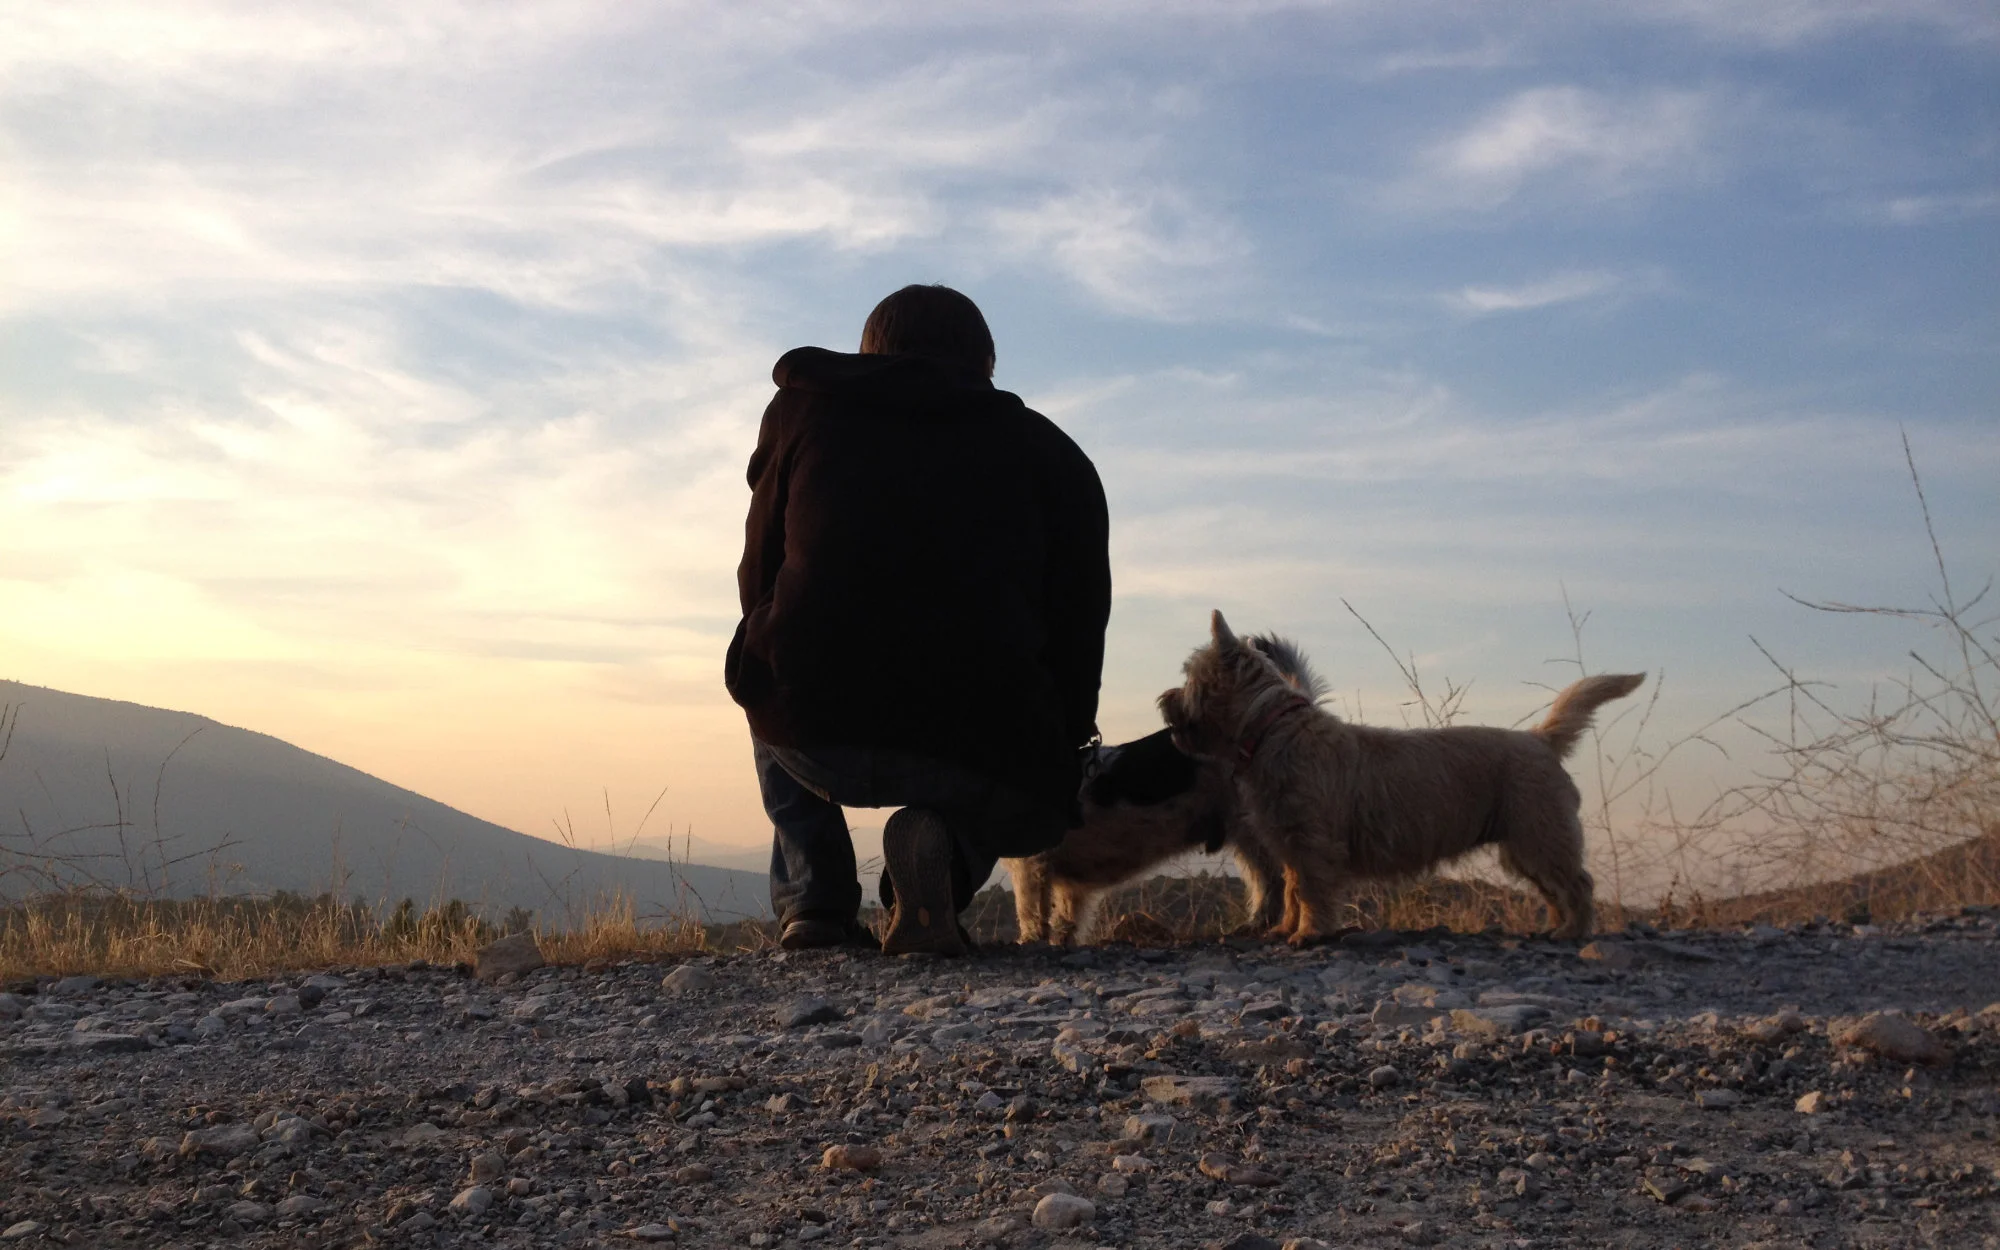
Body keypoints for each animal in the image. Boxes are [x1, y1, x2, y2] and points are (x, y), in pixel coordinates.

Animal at [1008, 632, 1320, 944]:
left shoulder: (1031, 865)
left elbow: (1029, 910)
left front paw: (1029, 941)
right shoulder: (1068, 886)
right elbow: (1065, 919)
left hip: (1250, 830)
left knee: (1274, 879)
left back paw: (1256, 924)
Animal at [1160, 608, 1640, 940]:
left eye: (1189, 677)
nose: (1163, 701)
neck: (1271, 728)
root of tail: (1541, 740)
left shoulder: (1311, 843)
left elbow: (1310, 890)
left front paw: (1309, 933)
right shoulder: (1288, 845)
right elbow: (1293, 889)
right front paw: (1285, 930)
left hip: (1541, 836)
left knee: (1577, 883)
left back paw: (1574, 932)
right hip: (1524, 847)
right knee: (1554, 889)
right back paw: (1553, 928)